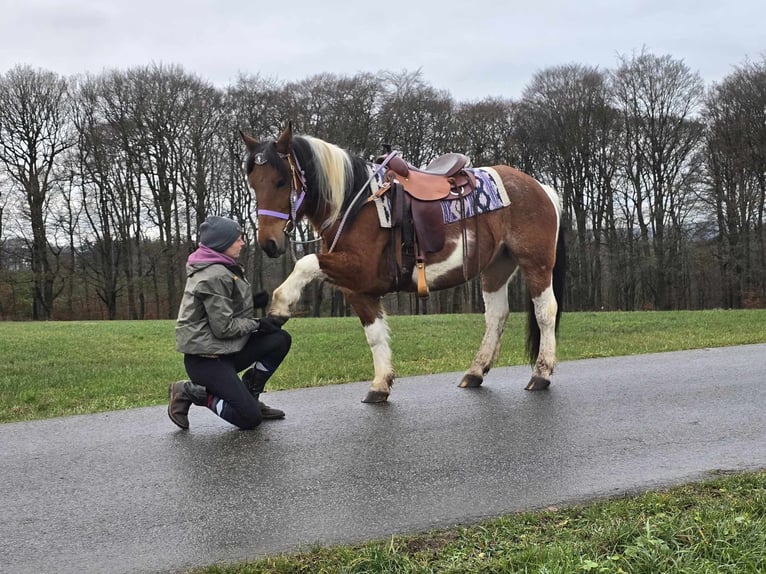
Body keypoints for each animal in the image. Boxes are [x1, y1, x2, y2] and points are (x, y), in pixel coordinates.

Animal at [243, 126, 568, 404]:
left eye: (281, 181)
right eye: (253, 184)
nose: (268, 242)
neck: (355, 204)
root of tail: (540, 187)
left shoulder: (361, 270)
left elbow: (306, 263)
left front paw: (279, 308)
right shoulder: (358, 290)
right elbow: (375, 336)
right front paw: (380, 384)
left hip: (536, 263)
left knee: (545, 312)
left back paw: (541, 374)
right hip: (496, 267)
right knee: (497, 316)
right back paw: (476, 371)